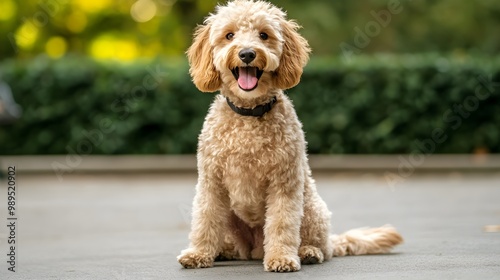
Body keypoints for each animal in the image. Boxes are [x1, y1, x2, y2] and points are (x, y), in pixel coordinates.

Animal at [178, 0, 404, 272]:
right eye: (229, 35)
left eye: (264, 35)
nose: (247, 54)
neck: (249, 115)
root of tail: (254, 250)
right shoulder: (212, 183)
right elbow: (206, 219)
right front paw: (198, 254)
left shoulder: (284, 183)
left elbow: (282, 224)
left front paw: (281, 258)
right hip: (233, 217)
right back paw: (224, 251)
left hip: (312, 208)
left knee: (318, 245)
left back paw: (308, 252)